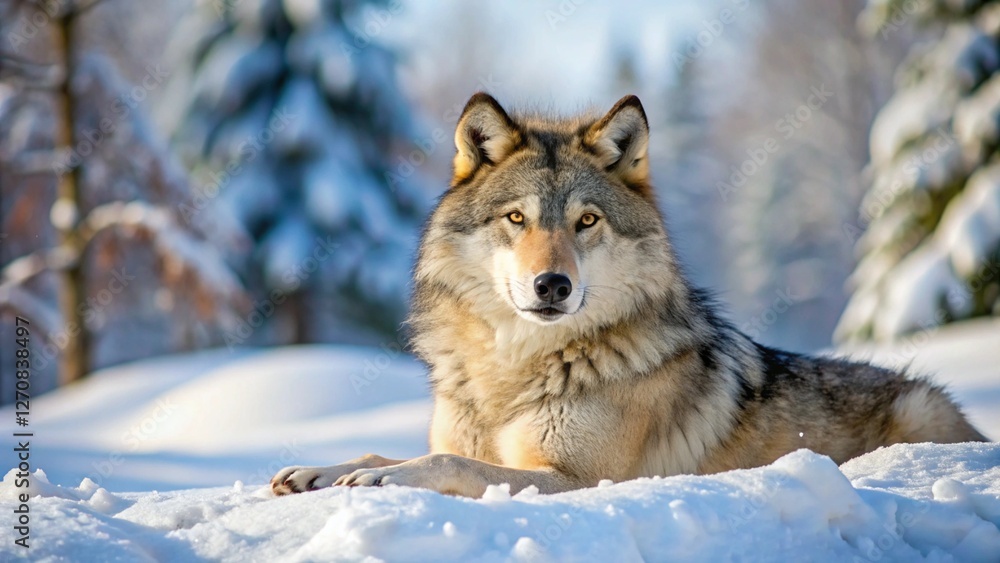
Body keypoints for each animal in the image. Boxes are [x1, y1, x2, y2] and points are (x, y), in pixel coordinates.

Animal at [272, 93, 987, 498]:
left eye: (587, 221)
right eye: (517, 218)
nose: (552, 284)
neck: (516, 369)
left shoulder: (578, 479)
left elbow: (449, 463)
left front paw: (384, 478)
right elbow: (400, 448)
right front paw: (322, 470)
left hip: (920, 405)